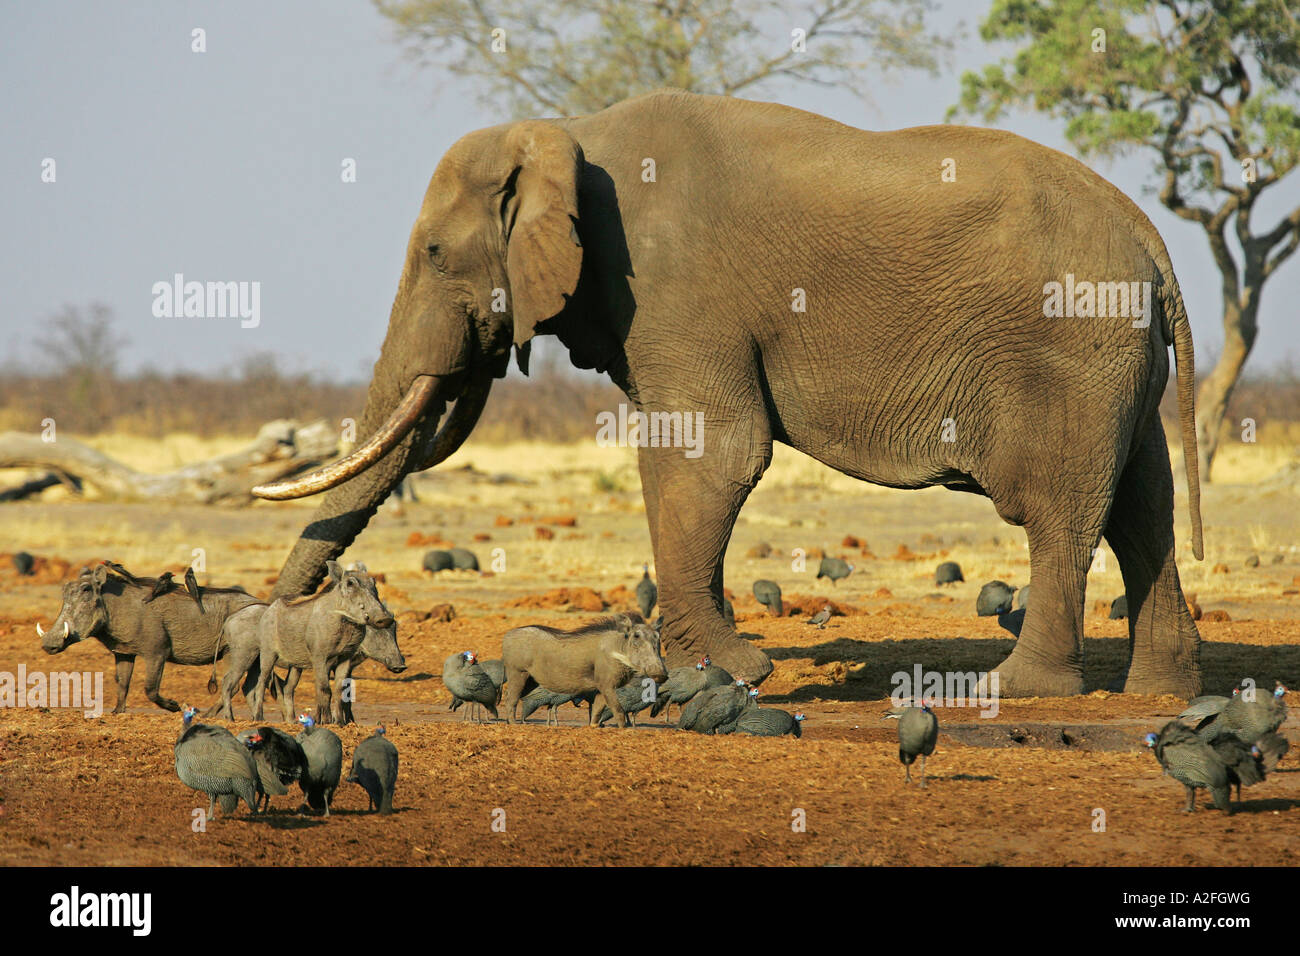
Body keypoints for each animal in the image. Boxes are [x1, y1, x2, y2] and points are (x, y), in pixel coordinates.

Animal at [256, 89, 1206, 697]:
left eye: (433, 255)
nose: (284, 607)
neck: (568, 131)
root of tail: (1153, 243)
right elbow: (683, 460)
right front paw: (706, 669)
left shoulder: (673, 286)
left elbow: (712, 456)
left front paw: (732, 674)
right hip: (1118, 362)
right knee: (1142, 506)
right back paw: (1159, 691)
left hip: (1070, 349)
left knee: (1060, 510)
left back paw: (1019, 690)